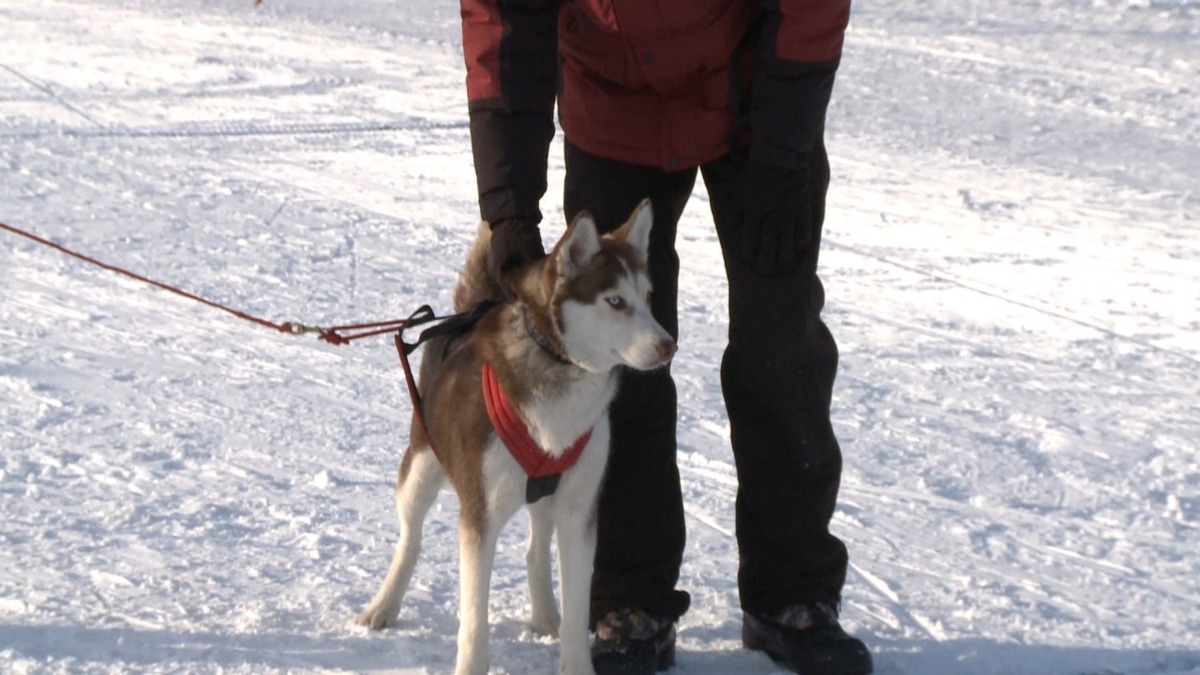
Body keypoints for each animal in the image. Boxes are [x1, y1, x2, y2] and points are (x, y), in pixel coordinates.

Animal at [355, 199, 676, 672]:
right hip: (420, 467)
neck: (557, 368)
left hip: (544, 494)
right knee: (410, 539)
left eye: (648, 297)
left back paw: (543, 615)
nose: (668, 345)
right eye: (615, 301)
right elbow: (474, 618)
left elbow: (578, 608)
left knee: (536, 546)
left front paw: (575, 662)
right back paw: (384, 605)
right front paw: (471, 664)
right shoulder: (480, 514)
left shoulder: (579, 513)